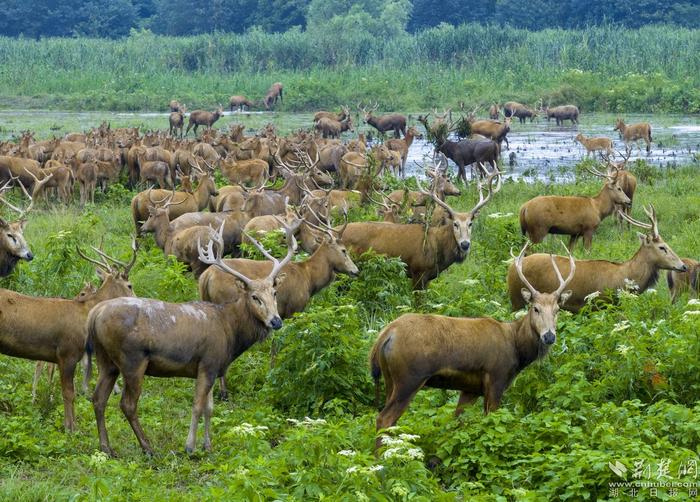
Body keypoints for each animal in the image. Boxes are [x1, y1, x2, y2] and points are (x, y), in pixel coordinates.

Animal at [1, 239, 137, 432]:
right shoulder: (67, 352)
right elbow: (68, 393)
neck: (86, 313)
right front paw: (71, 428)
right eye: (129, 285)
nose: (137, 299)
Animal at [340, 170, 500, 288]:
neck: (437, 247)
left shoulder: (428, 277)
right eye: (455, 224)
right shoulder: (418, 271)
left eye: (470, 223)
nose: (465, 244)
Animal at [370, 241, 576, 450]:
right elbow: (490, 421)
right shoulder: (496, 377)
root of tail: (386, 335)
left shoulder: (471, 388)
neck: (516, 348)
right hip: (410, 377)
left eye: (557, 310)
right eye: (536, 308)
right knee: (384, 419)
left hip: (390, 379)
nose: (549, 336)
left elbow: (458, 422)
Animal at [506, 206, 688, 312]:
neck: (624, 277)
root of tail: (510, 268)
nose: (683, 266)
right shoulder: (602, 305)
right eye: (662, 247)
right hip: (516, 300)